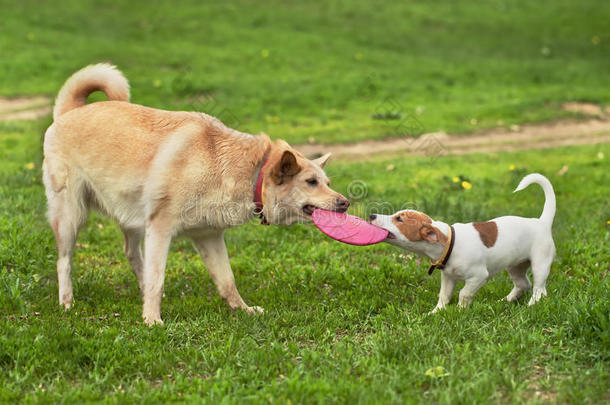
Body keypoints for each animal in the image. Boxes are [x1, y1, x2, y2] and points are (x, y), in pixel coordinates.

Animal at [42, 63, 346, 326]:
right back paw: (67, 302)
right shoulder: (160, 228)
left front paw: (244, 310)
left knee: (131, 253)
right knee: (64, 261)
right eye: (311, 181)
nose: (345, 202)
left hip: (132, 216)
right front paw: (152, 320)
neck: (246, 171)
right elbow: (158, 278)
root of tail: (69, 112)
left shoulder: (208, 236)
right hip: (71, 216)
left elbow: (227, 281)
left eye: (327, 181)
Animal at [368, 174, 552, 312]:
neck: (450, 243)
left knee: (539, 289)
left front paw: (460, 310)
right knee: (523, 284)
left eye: (399, 219)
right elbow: (444, 295)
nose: (371, 215)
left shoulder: (478, 276)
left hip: (540, 264)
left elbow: (464, 293)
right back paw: (506, 300)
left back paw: (532, 305)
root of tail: (541, 222)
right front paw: (436, 312)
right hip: (515, 266)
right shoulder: (448, 277)